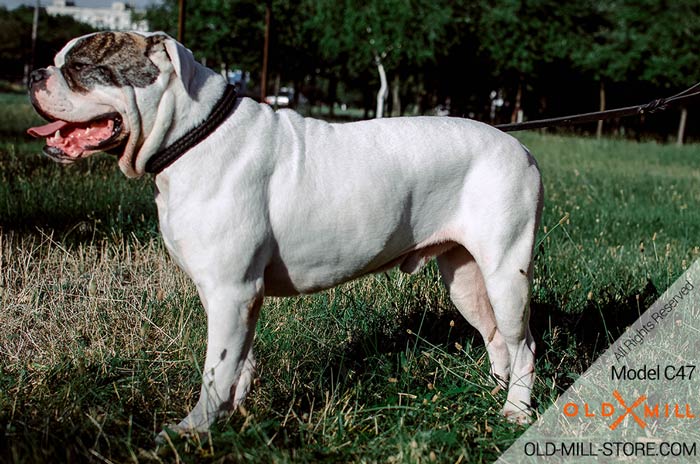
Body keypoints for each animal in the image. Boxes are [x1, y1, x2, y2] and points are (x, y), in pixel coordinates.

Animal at [26, 30, 540, 436]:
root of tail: (521, 148)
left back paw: (516, 411)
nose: (34, 74)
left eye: (80, 68)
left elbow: (216, 367)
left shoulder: (231, 290)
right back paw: (494, 394)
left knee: (524, 344)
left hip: (505, 275)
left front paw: (193, 431)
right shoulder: (233, 296)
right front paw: (234, 416)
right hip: (466, 279)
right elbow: (238, 360)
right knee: (497, 339)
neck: (193, 136)